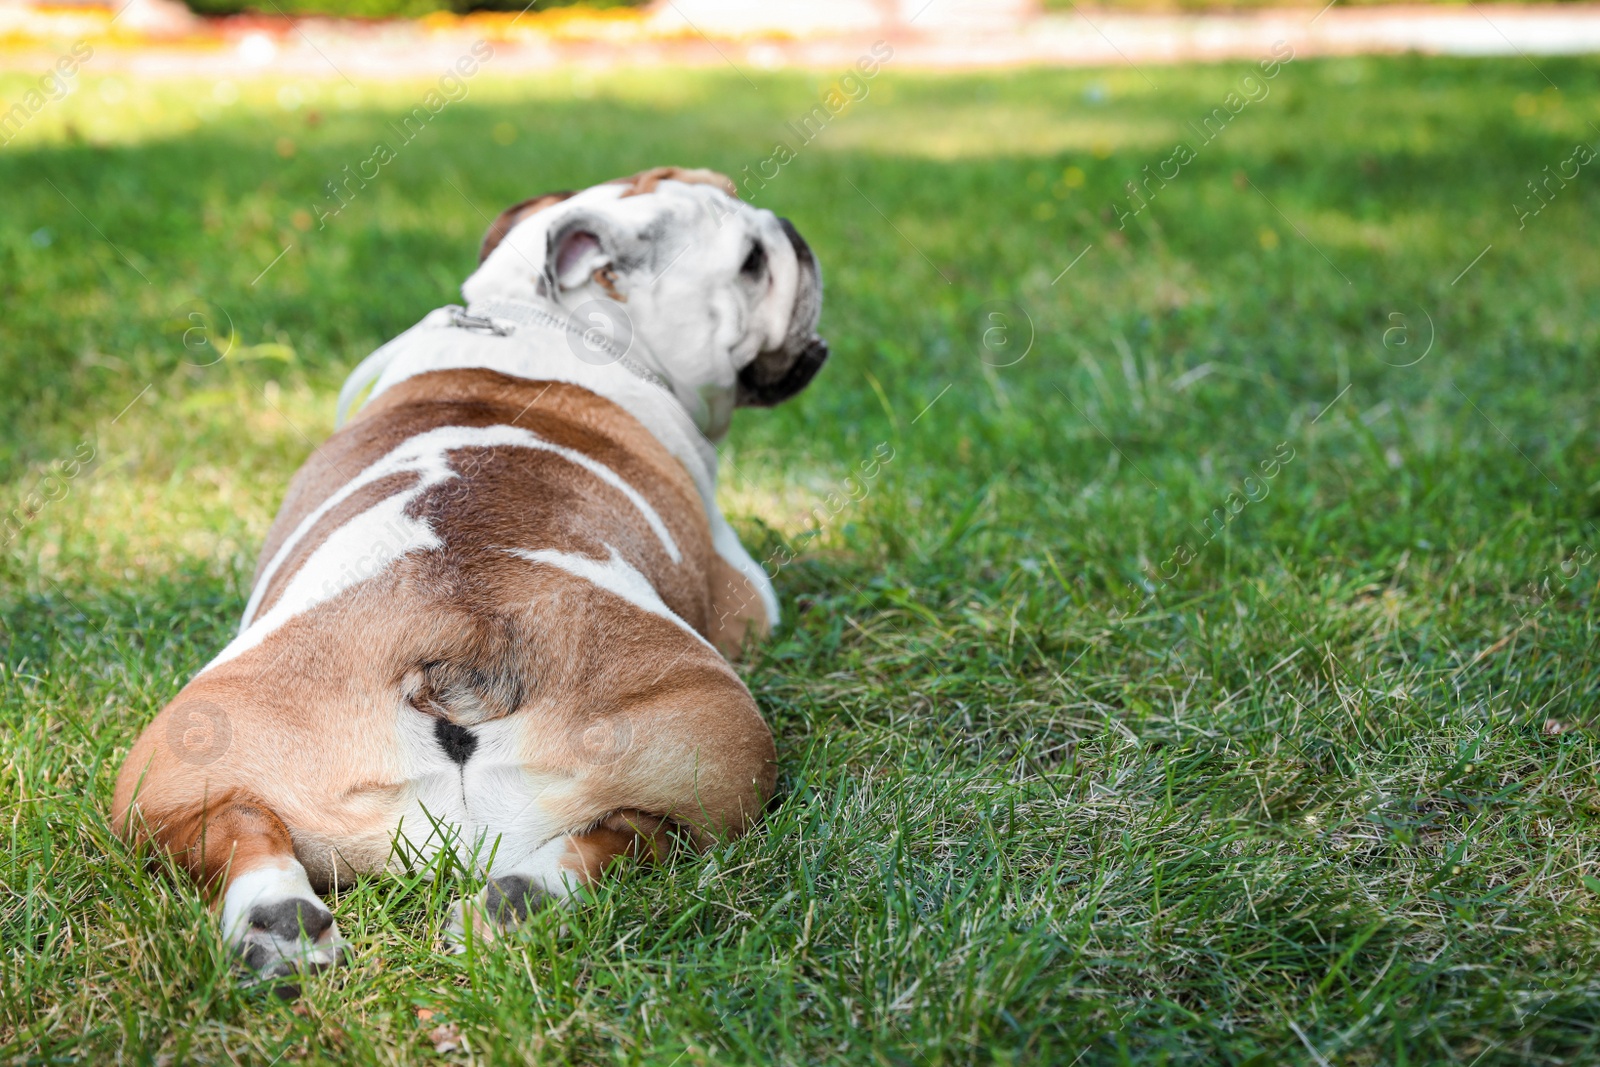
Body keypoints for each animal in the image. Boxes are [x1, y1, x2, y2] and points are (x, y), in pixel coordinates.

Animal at [112, 168, 832, 985]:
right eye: (752, 261)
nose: (790, 233)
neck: (536, 315)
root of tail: (458, 645)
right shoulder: (748, 595)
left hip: (173, 764)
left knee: (238, 825)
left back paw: (302, 921)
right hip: (732, 753)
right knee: (640, 838)